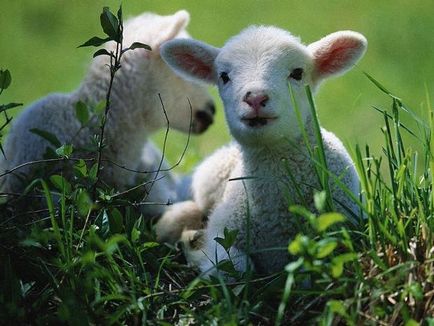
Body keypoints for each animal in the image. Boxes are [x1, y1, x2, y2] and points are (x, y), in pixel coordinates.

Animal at [156, 26, 366, 276]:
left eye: (297, 73)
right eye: (224, 76)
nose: (255, 97)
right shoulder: (222, 231)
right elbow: (236, 266)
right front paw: (196, 252)